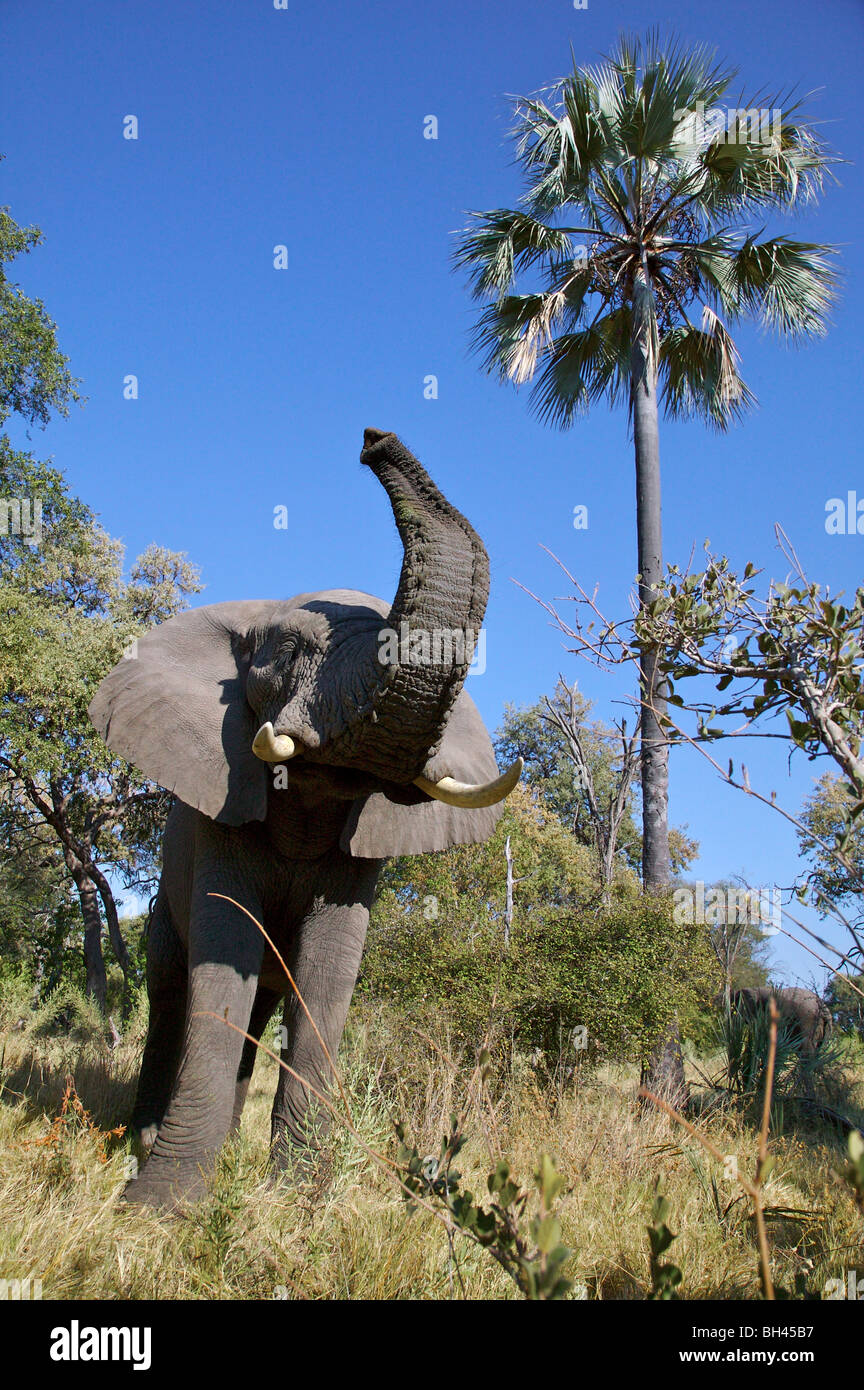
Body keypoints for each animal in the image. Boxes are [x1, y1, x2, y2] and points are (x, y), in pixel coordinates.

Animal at [89, 428, 522, 1209]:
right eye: (290, 653)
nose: (373, 439)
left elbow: (326, 973)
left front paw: (297, 1200)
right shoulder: (221, 802)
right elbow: (223, 956)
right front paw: (159, 1207)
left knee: (259, 1005)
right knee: (172, 988)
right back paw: (141, 1143)